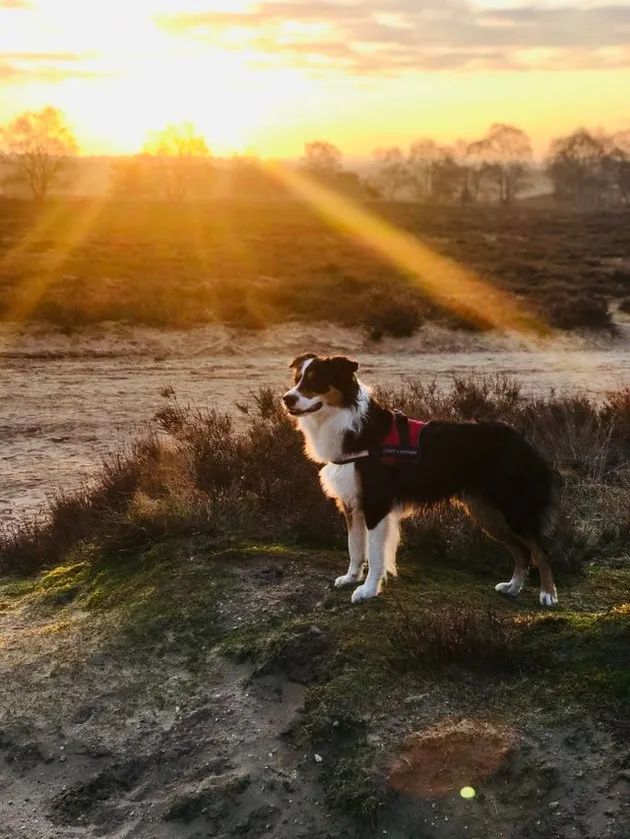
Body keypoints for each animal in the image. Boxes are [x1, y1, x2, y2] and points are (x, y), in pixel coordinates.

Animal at [284, 356, 560, 612]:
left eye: (315, 380)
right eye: (297, 379)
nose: (287, 399)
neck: (351, 424)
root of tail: (523, 441)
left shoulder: (376, 504)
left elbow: (374, 553)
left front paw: (368, 590)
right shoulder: (351, 504)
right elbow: (355, 547)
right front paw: (351, 577)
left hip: (513, 509)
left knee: (541, 551)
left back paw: (548, 594)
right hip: (488, 513)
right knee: (522, 552)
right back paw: (513, 587)